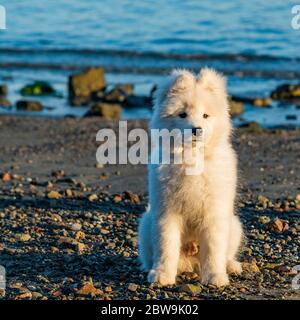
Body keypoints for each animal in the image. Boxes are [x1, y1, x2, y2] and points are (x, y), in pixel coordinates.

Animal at [138, 68, 244, 288]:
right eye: (182, 114)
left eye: (205, 115)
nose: (196, 129)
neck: (192, 159)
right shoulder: (167, 212)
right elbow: (166, 246)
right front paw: (162, 275)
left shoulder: (214, 214)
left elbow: (213, 249)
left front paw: (215, 277)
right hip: (146, 223)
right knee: (150, 255)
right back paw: (149, 269)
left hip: (235, 226)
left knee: (226, 254)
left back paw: (231, 266)